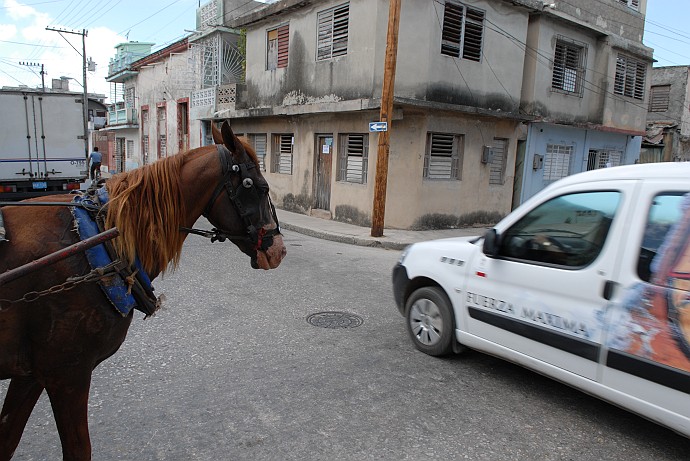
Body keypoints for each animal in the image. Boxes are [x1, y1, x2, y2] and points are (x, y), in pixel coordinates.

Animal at [0, 120, 284, 458]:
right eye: (260, 188)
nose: (279, 250)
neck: (101, 237)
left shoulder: (30, 375)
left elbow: (7, 439)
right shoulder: (66, 375)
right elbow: (78, 449)